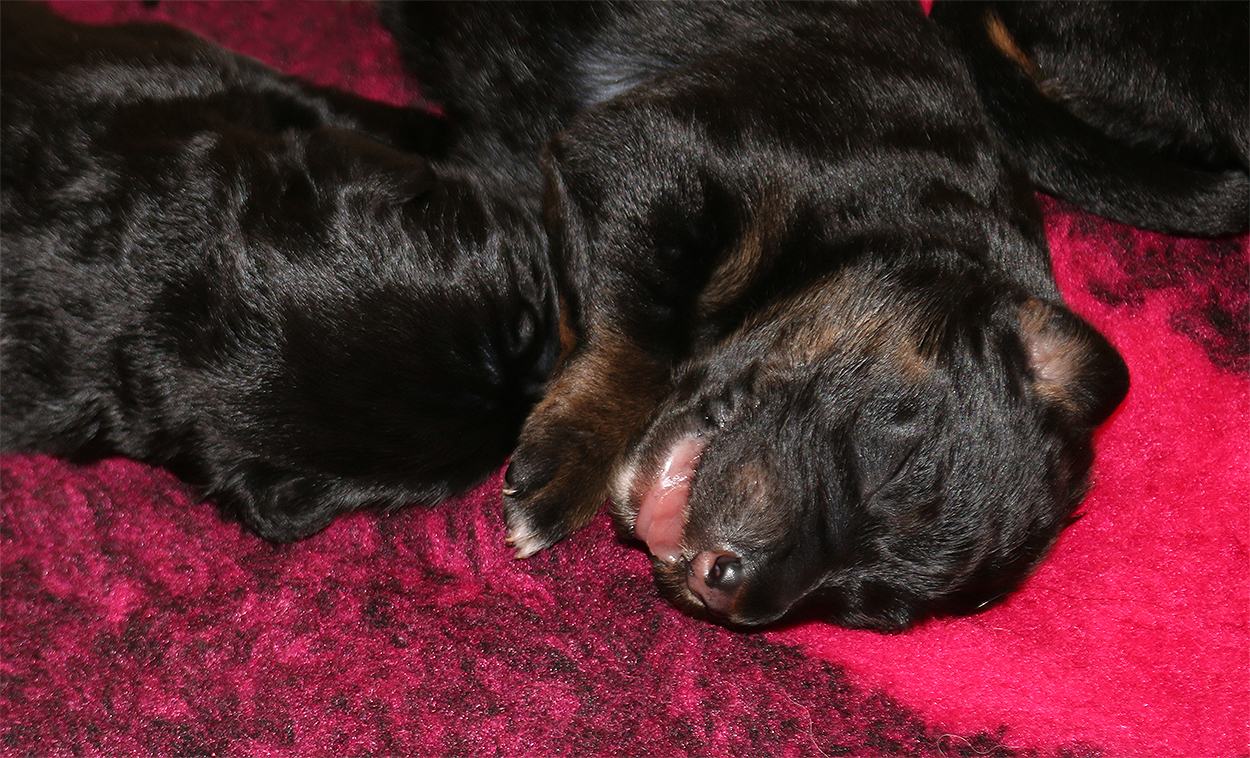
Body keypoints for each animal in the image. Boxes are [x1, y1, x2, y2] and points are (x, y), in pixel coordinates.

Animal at [385, 1, 1131, 630]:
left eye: (868, 608)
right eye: (894, 469)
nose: (729, 590)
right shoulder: (648, 150)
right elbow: (637, 336)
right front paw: (572, 459)